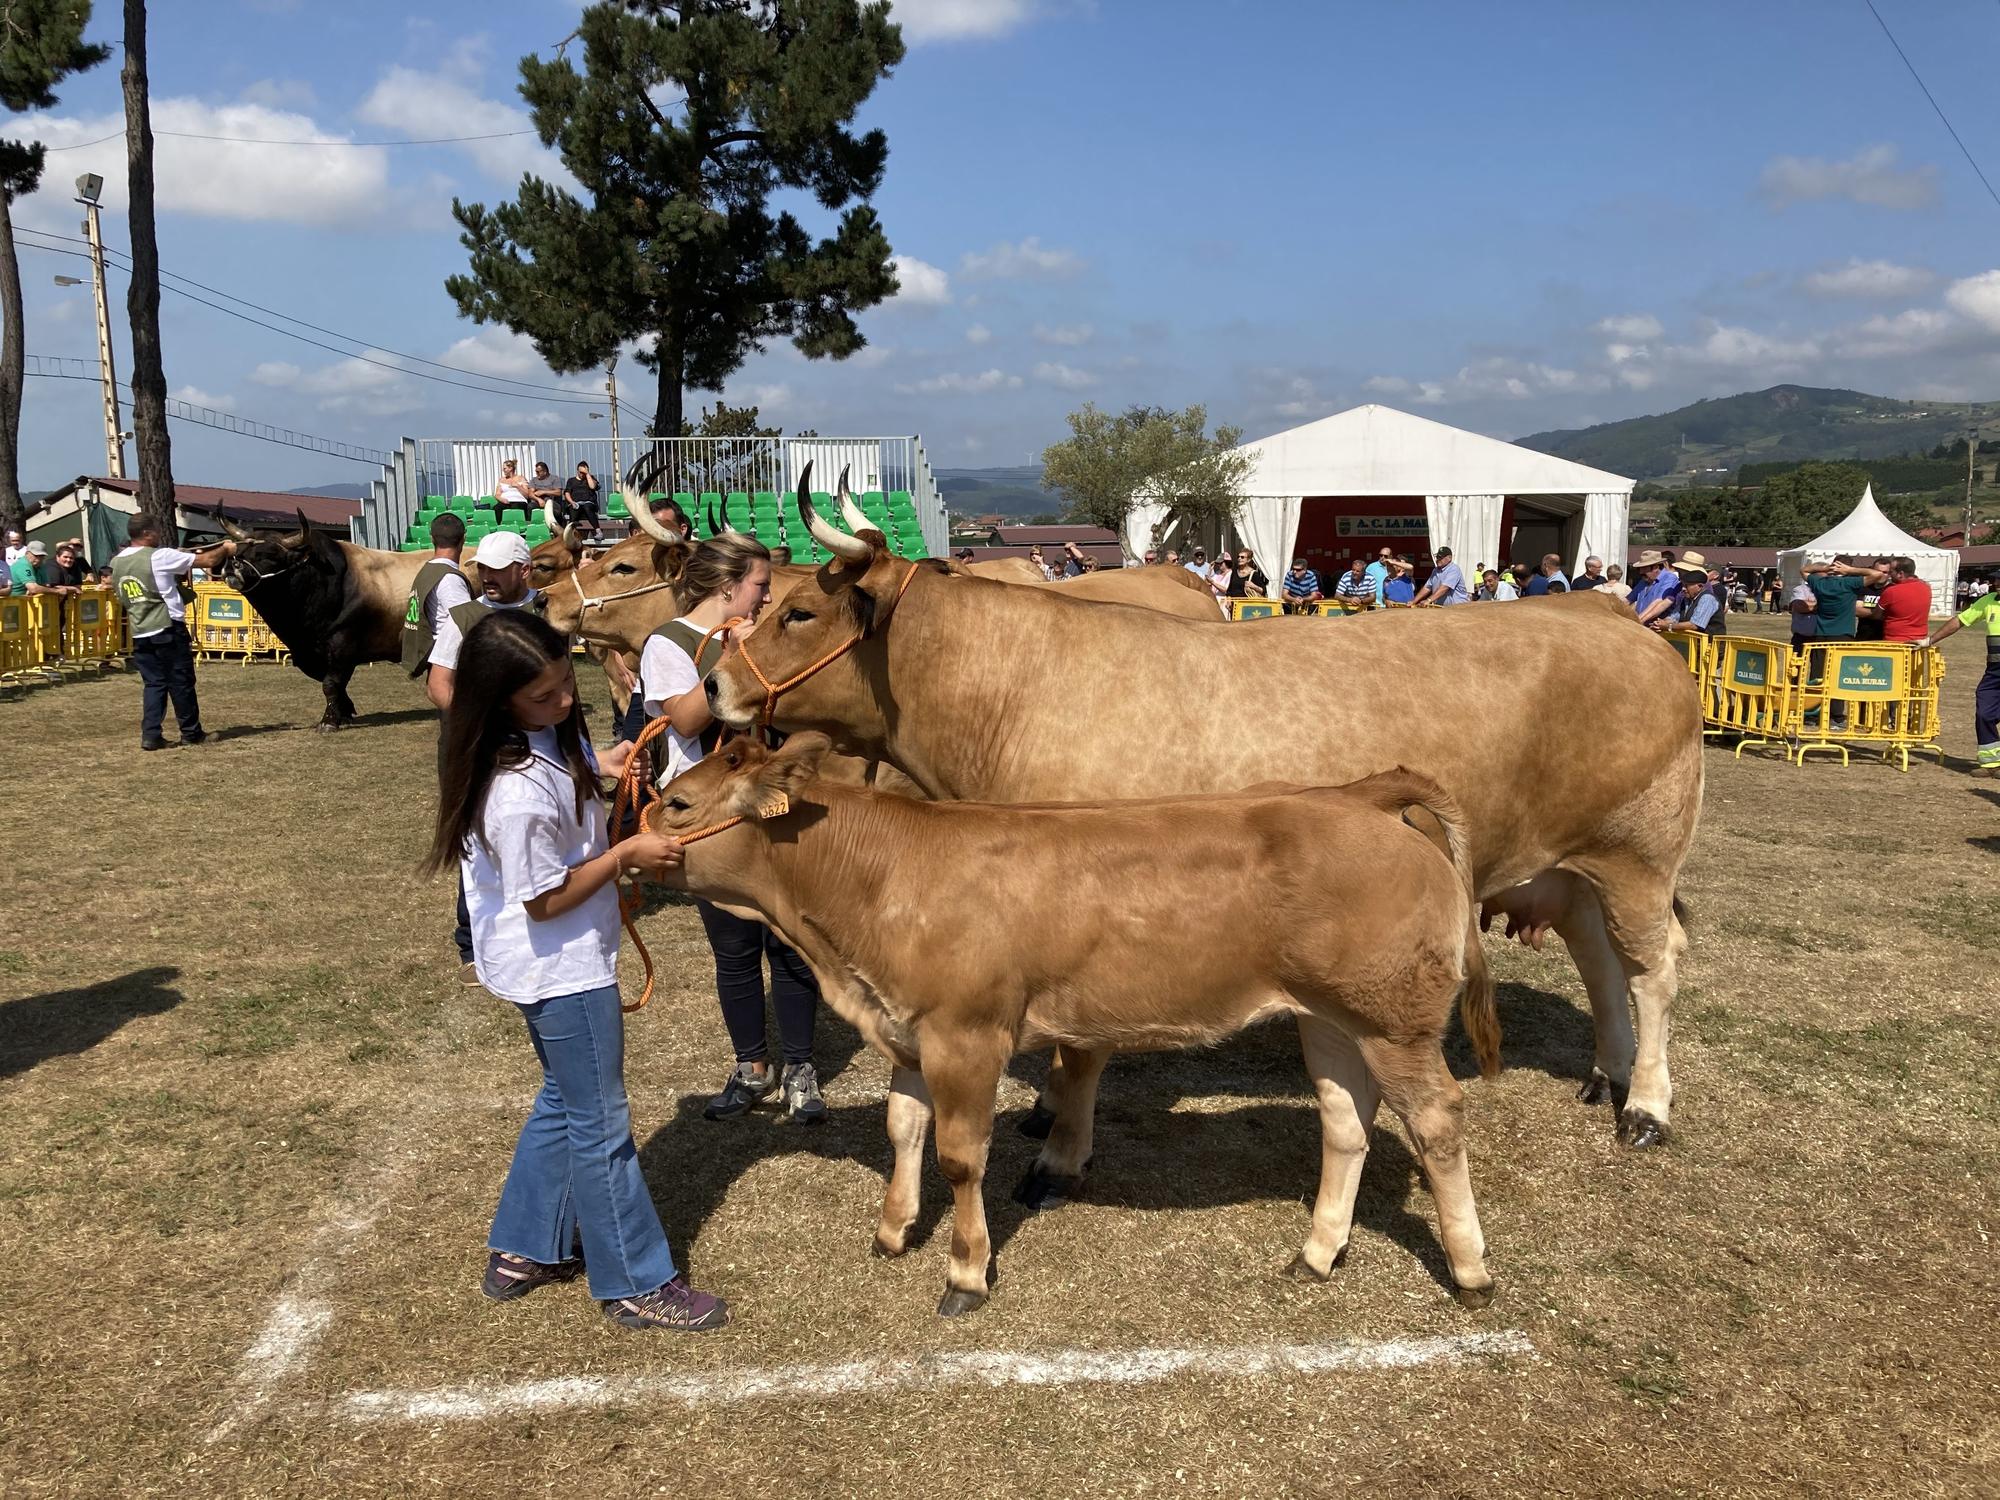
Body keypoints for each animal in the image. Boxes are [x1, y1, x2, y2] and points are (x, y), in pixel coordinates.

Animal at [656, 736, 1504, 1312]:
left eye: (677, 803)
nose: (633, 835)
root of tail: (1353, 795)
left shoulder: (967, 1035)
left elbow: (960, 1158)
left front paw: (966, 1272)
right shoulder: (907, 1028)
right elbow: (902, 1129)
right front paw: (893, 1230)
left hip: (1395, 1024)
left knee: (1436, 1120)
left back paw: (1471, 1270)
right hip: (1330, 1016)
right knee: (1345, 1122)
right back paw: (1318, 1252)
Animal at [708, 476, 1704, 1168]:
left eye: (799, 611)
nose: (714, 686)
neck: (1005, 694)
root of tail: (1606, 608)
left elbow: (1081, 1051)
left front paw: (1060, 1145)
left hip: (1640, 852)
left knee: (1654, 967)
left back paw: (1647, 1107)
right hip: (1571, 866)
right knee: (1601, 961)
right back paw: (1608, 1074)